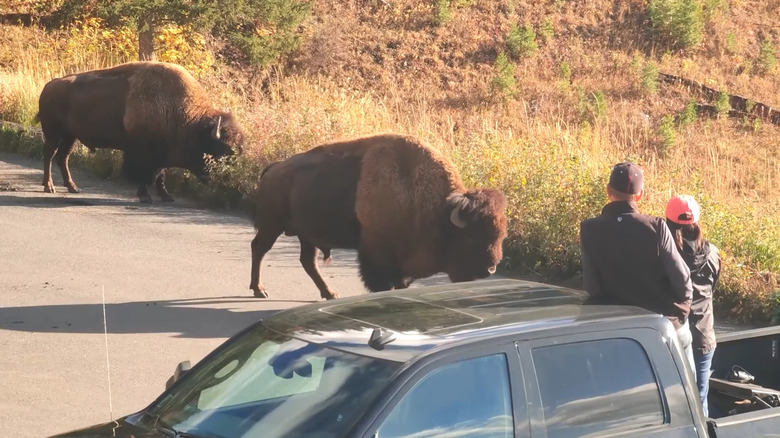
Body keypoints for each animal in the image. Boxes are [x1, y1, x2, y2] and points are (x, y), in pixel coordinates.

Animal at [36, 61, 244, 202]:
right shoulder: (141, 153)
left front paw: (166, 196)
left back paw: (73, 187)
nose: (225, 180)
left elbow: (161, 175)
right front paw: (145, 196)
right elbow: (144, 174)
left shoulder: (162, 153)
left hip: (70, 136)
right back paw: (49, 187)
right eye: (221, 151)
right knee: (49, 156)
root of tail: (48, 85)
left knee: (63, 157)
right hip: (53, 134)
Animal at [249, 134, 508, 299]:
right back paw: (259, 290)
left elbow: (402, 281)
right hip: (272, 225)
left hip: (306, 235)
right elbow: (381, 280)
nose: (490, 270)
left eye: (501, 236)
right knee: (259, 248)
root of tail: (274, 168)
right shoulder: (376, 250)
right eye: (472, 237)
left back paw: (330, 293)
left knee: (307, 261)